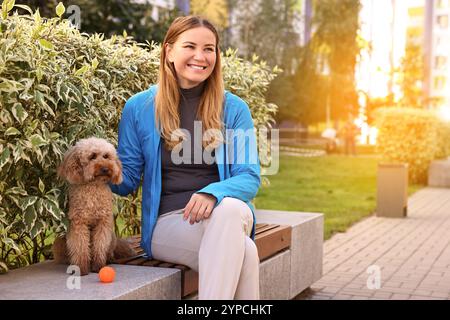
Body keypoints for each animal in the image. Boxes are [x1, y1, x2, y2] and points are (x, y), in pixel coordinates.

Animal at [52, 137, 135, 276]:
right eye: (92, 156)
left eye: (106, 156)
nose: (105, 168)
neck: (93, 187)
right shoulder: (78, 223)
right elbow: (80, 247)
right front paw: (81, 268)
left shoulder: (103, 223)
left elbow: (100, 245)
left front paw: (98, 266)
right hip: (60, 240)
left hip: (112, 236)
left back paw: (109, 258)